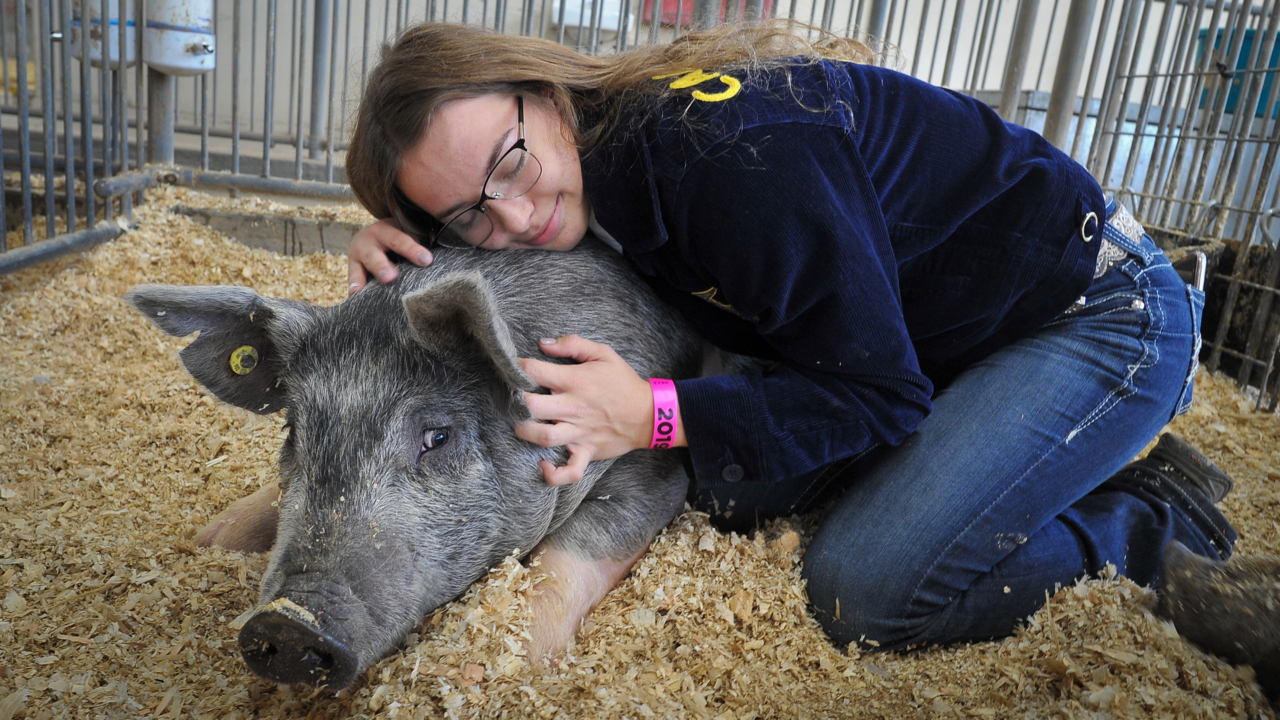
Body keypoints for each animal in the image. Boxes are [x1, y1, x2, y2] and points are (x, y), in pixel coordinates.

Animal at [125, 238, 743, 690]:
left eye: (437, 437)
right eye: (294, 431)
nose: (288, 620)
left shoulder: (654, 468)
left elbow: (574, 552)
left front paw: (496, 670)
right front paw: (206, 540)